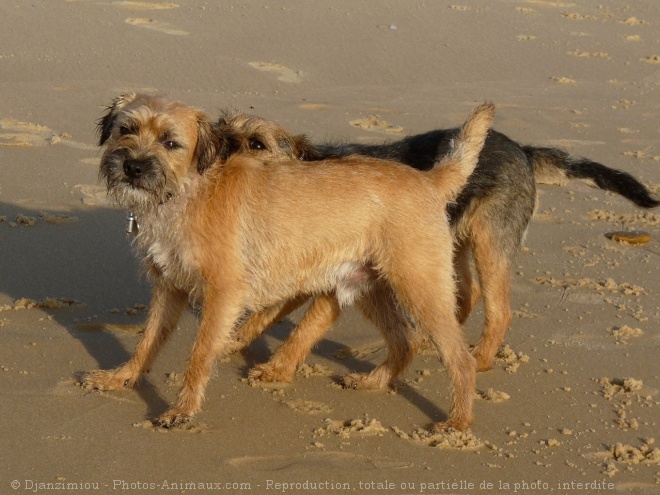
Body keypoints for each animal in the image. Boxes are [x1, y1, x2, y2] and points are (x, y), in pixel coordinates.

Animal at [84, 94, 496, 434]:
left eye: (170, 142)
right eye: (126, 129)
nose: (133, 167)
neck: (188, 191)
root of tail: (429, 180)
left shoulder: (223, 294)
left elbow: (199, 355)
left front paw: (183, 411)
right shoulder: (169, 288)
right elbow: (147, 342)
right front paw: (121, 378)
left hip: (419, 287)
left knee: (460, 358)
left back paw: (457, 422)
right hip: (369, 287)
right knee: (405, 339)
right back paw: (372, 382)